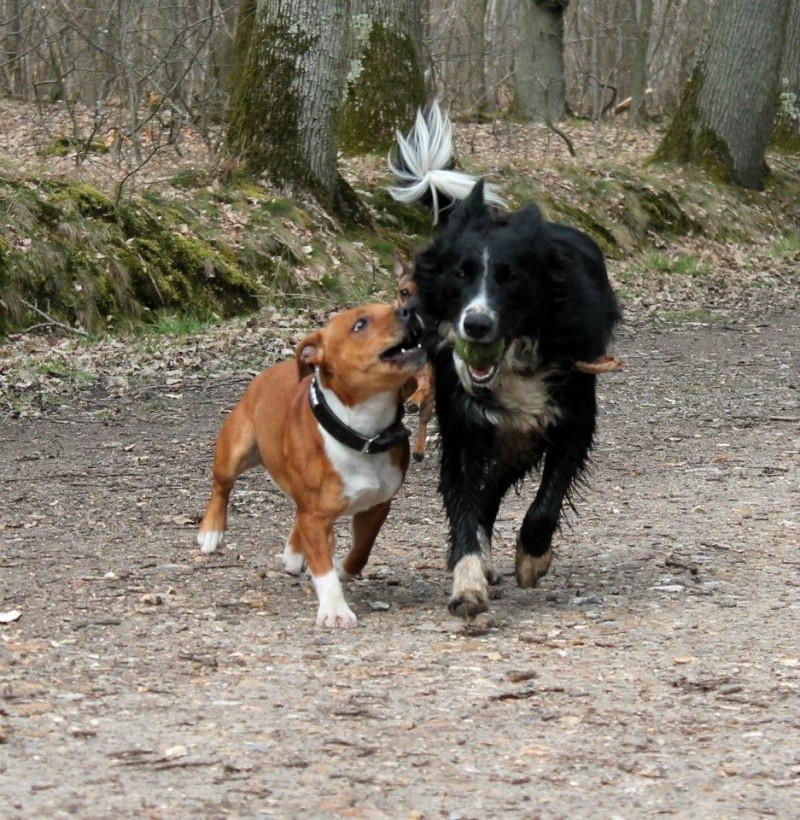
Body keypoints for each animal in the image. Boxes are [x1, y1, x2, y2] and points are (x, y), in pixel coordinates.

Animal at [198, 302, 428, 628]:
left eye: (393, 306)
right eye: (360, 324)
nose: (408, 310)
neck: (361, 432)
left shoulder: (376, 506)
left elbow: (361, 549)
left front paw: (344, 568)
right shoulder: (316, 518)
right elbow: (323, 569)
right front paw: (335, 609)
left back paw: (294, 553)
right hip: (236, 450)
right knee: (222, 486)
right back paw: (211, 532)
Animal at [390, 102, 620, 620]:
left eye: (509, 277)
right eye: (460, 274)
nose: (475, 325)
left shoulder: (569, 419)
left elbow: (548, 498)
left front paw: (533, 556)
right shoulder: (464, 426)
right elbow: (463, 504)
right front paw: (468, 581)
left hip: (523, 438)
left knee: (499, 488)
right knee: (486, 493)